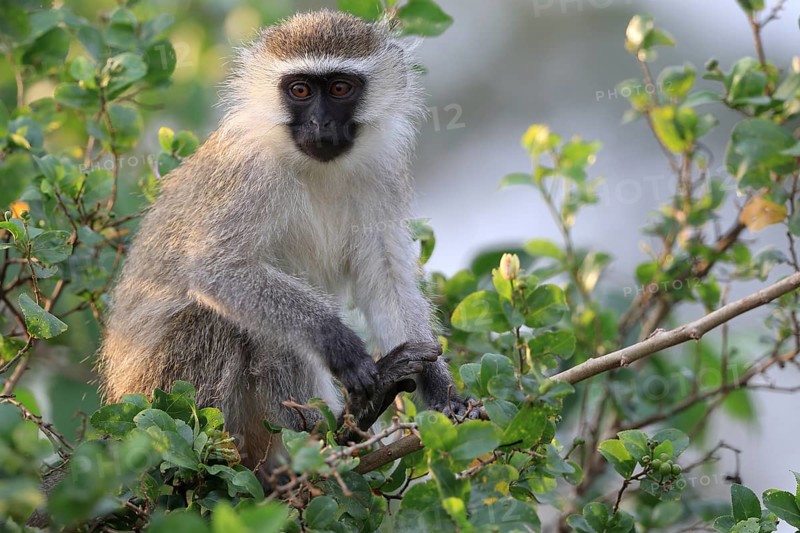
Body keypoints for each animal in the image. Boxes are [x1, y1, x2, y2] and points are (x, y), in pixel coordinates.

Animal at [97, 10, 472, 474]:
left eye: (340, 88)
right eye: (300, 90)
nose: (321, 124)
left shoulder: (383, 168)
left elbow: (384, 275)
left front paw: (439, 387)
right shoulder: (249, 171)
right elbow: (215, 270)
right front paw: (338, 342)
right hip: (168, 393)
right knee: (232, 320)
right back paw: (328, 431)